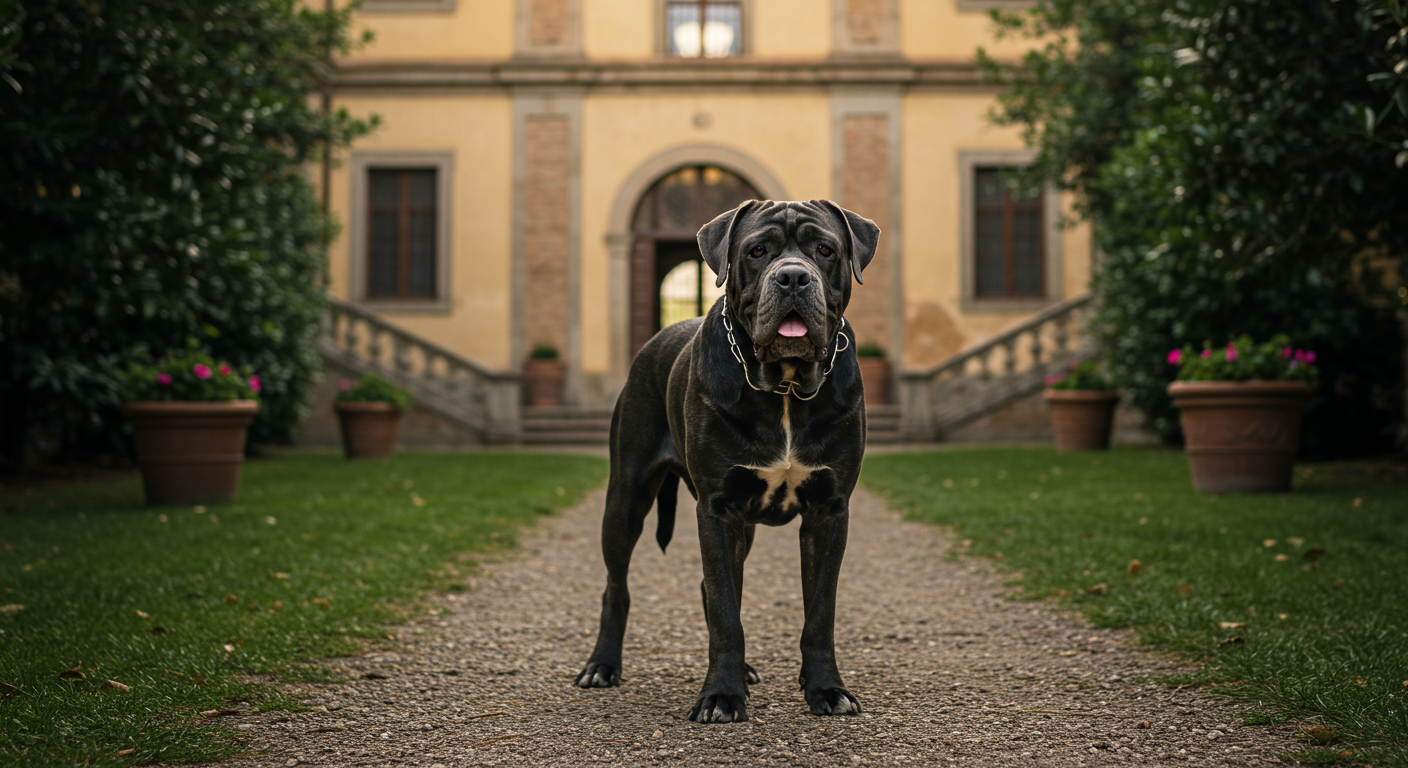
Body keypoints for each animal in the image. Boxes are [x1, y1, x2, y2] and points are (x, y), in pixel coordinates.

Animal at [574, 198, 878, 727]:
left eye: (825, 249)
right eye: (757, 251)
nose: (793, 277)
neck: (785, 386)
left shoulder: (829, 509)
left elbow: (819, 612)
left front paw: (826, 689)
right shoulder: (717, 508)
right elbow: (724, 609)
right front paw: (720, 695)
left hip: (743, 524)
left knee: (710, 585)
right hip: (627, 497)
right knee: (619, 585)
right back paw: (602, 665)